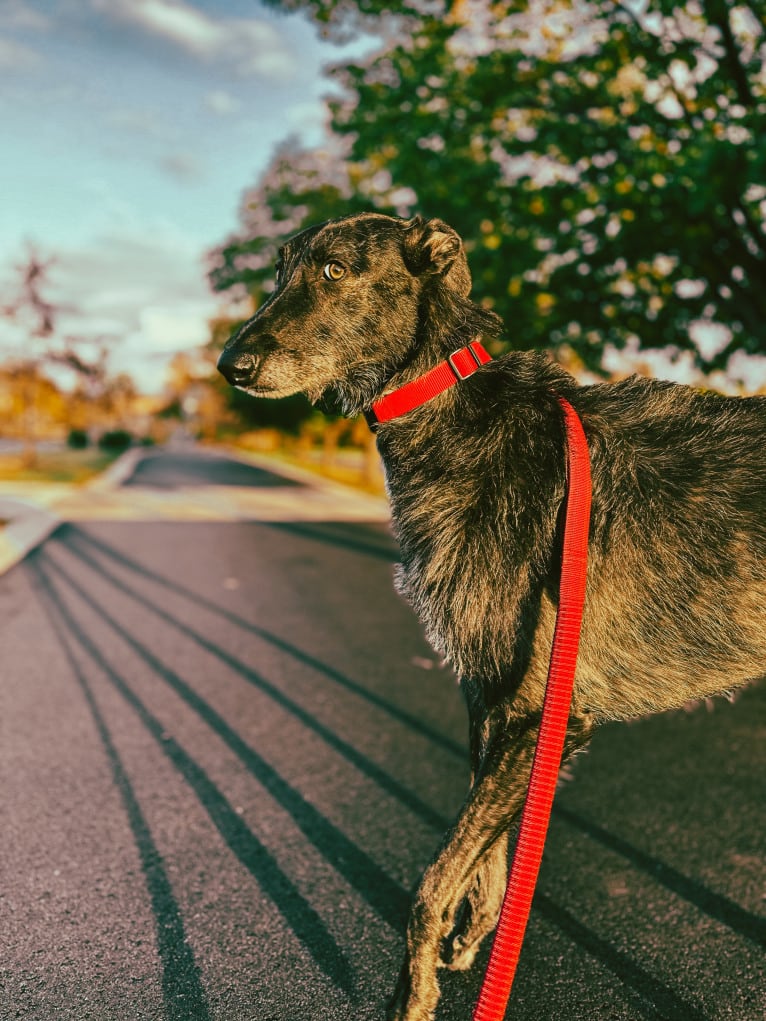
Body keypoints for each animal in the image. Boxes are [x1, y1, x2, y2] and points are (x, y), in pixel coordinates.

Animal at [217, 211, 766, 1016]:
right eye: (281, 267)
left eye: (335, 270)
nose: (231, 365)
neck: (449, 405)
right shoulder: (493, 705)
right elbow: (488, 857)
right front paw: (474, 936)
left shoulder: (539, 713)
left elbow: (430, 884)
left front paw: (411, 993)